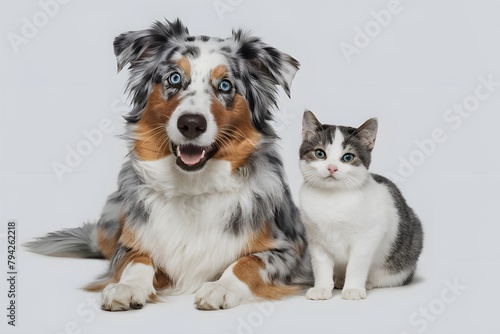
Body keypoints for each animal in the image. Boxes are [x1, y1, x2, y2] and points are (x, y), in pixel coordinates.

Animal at [26, 18, 312, 310]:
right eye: (174, 78)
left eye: (225, 86)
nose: (191, 124)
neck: (193, 188)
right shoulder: (129, 245)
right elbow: (137, 260)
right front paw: (127, 287)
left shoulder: (289, 251)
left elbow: (248, 262)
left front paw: (221, 287)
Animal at [298, 110, 424, 300]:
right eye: (320, 153)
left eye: (347, 157)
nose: (332, 168)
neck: (332, 197)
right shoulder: (315, 238)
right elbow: (320, 264)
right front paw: (322, 287)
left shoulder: (370, 235)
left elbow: (357, 263)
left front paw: (353, 288)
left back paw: (365, 283)